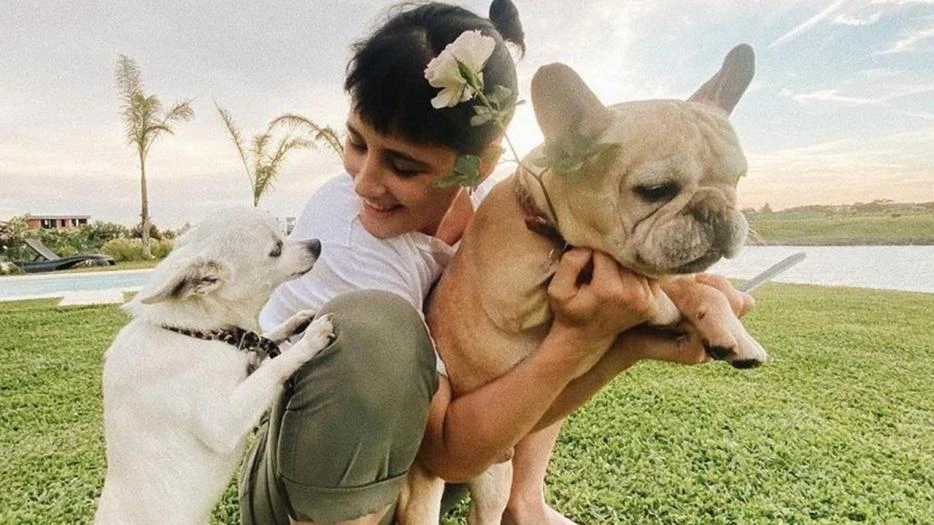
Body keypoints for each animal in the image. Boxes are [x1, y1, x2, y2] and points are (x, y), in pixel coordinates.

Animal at [93, 208, 333, 525]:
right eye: (276, 249)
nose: (316, 243)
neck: (194, 332)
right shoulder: (222, 423)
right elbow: (274, 367)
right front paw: (311, 338)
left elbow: (264, 342)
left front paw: (297, 323)